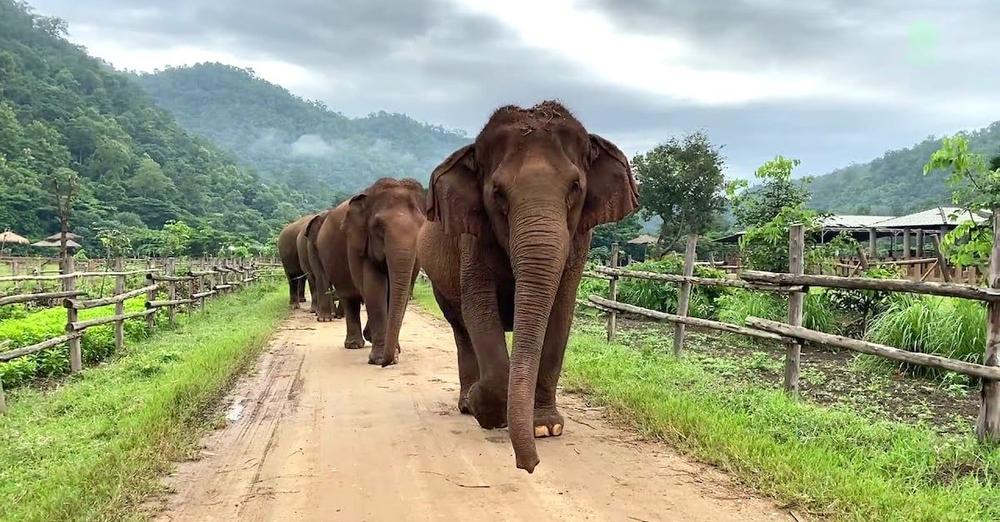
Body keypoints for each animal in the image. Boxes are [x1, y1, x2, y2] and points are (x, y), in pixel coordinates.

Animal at [316, 177, 426, 364]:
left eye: (421, 227)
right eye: (379, 227)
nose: (388, 362)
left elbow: (400, 293)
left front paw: (395, 352)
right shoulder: (357, 244)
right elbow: (374, 288)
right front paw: (380, 359)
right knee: (349, 298)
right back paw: (354, 344)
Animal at [416, 101, 636, 472]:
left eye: (575, 187)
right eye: (497, 193)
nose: (529, 466)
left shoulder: (580, 241)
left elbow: (561, 313)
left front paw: (546, 427)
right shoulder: (471, 238)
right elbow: (479, 308)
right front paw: (487, 411)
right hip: (438, 285)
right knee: (461, 328)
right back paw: (466, 402)